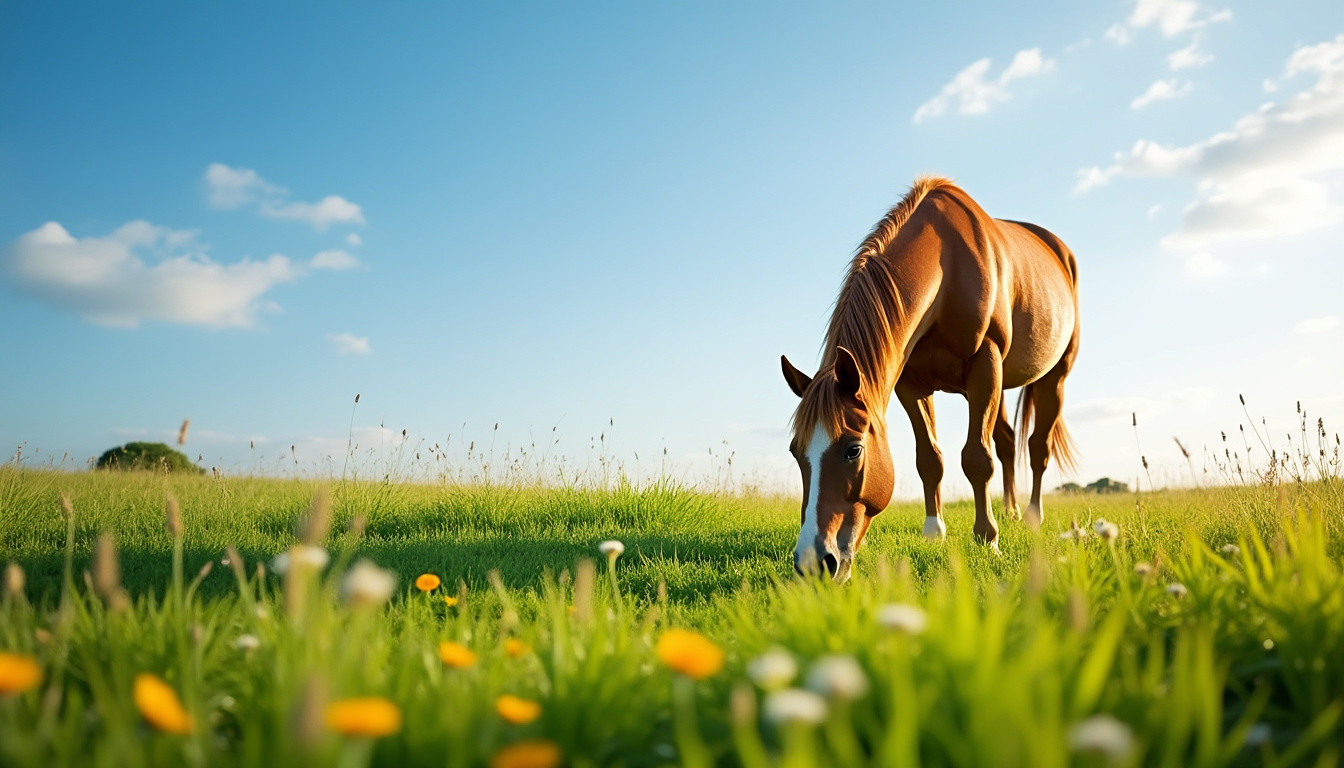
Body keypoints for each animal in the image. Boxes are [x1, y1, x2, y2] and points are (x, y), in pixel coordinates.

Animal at [781, 175, 1079, 581]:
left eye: (853, 449)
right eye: (796, 451)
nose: (813, 563)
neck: (947, 266)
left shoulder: (985, 363)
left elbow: (977, 458)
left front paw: (988, 539)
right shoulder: (913, 385)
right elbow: (930, 459)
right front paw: (934, 531)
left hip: (1052, 378)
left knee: (1037, 447)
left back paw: (1032, 516)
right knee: (1006, 442)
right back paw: (1012, 511)